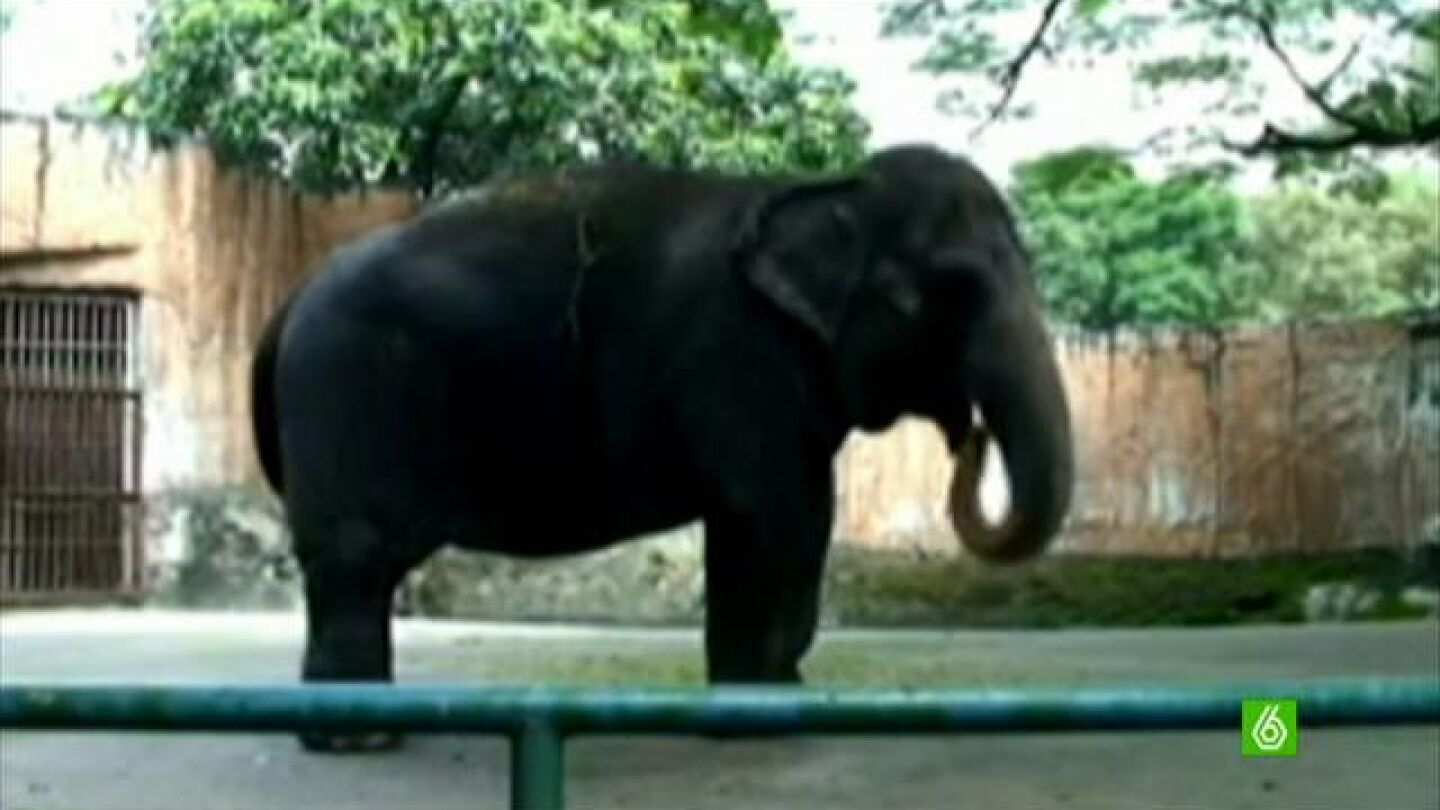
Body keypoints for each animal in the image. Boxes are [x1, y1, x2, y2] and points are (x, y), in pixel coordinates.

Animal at [250, 144, 1074, 751]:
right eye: (955, 291)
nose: (968, 432)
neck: (824, 188)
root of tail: (290, 300)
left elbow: (807, 520)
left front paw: (788, 694)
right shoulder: (737, 357)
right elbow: (768, 516)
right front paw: (756, 719)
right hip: (349, 389)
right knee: (356, 560)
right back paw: (357, 741)